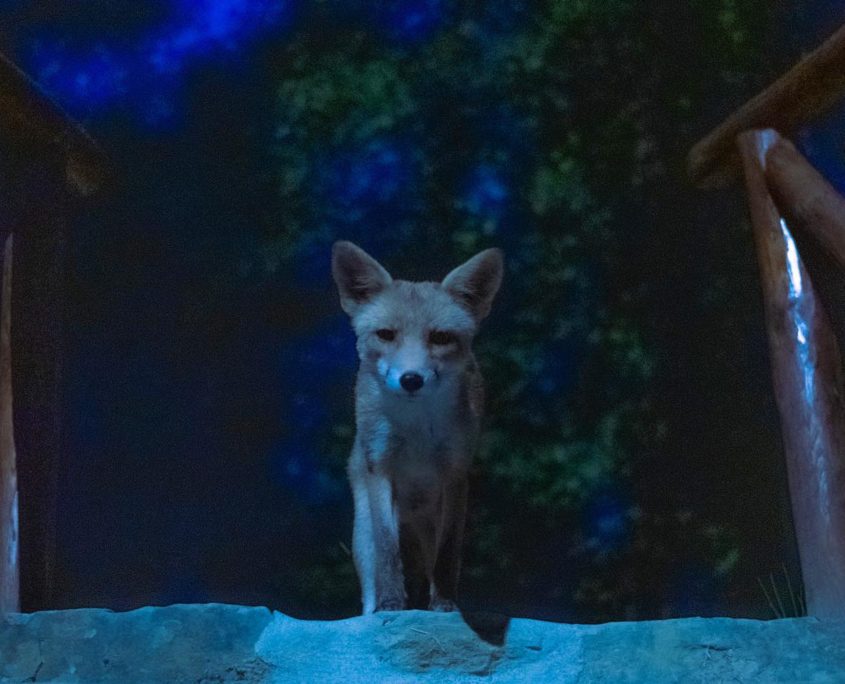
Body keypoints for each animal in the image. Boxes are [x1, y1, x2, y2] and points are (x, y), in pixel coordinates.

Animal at [332, 241, 503, 614]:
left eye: (440, 337)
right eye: (386, 335)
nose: (411, 379)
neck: (416, 430)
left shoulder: (455, 473)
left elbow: (448, 554)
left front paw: (444, 605)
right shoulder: (379, 467)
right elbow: (387, 553)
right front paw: (392, 606)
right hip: (361, 532)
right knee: (371, 578)